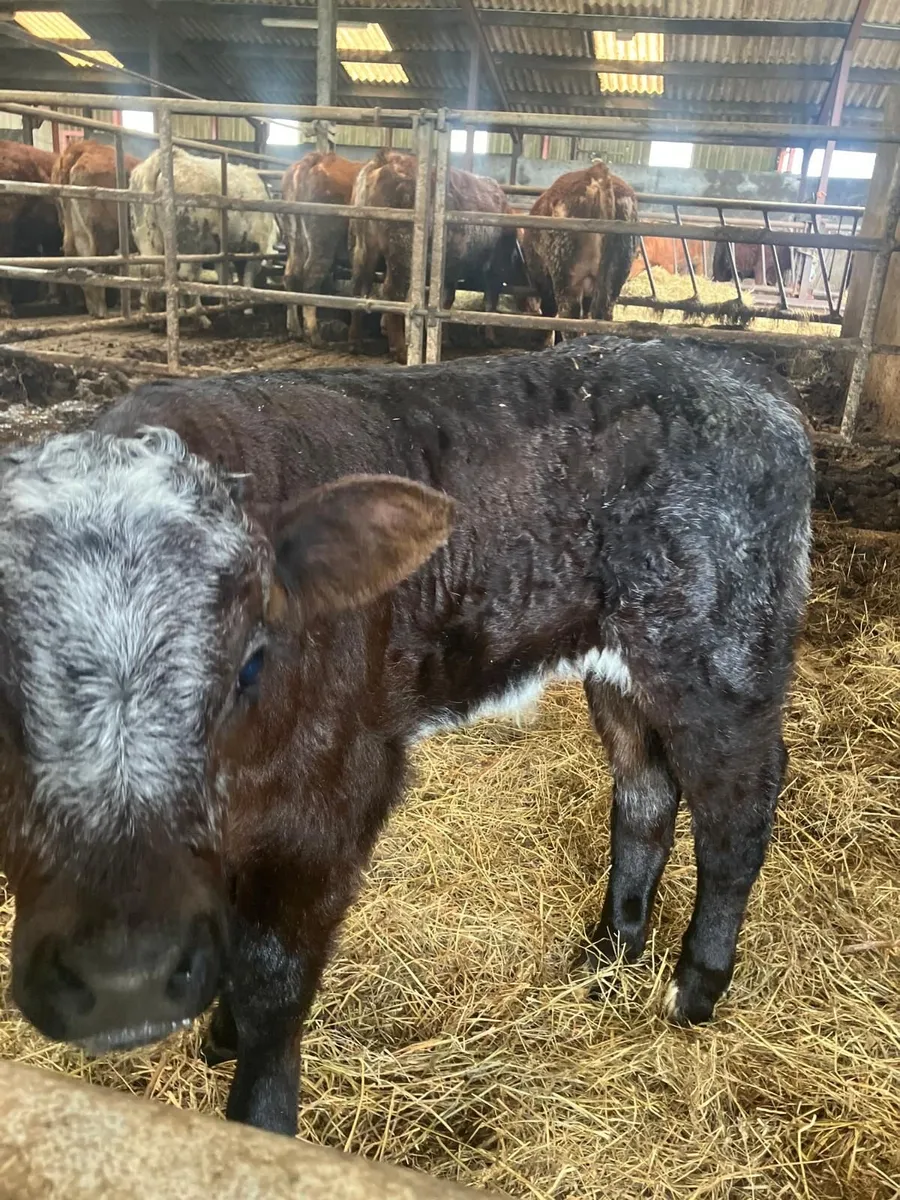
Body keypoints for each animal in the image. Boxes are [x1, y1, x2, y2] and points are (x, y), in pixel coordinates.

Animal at [0, 336, 813, 1137]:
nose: (122, 982)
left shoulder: (334, 795)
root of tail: (751, 382)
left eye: (250, 663)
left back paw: (693, 988)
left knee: (738, 814)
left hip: (720, 658)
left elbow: (274, 981)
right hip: (621, 665)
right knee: (646, 793)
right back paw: (609, 954)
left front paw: (257, 1110)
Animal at [52, 139, 140, 319]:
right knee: (95, 265)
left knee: (75, 257)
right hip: (102, 234)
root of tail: (82, 147)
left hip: (71, 228)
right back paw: (101, 311)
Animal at [129, 147, 279, 318]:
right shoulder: (257, 247)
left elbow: (225, 276)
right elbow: (247, 278)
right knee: (187, 276)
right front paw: (248, 308)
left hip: (146, 241)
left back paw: (149, 313)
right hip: (191, 246)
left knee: (148, 271)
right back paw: (200, 315)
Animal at [282, 151, 362, 346]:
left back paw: (295, 330)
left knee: (290, 277)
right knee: (310, 281)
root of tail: (314, 159)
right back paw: (315, 336)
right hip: (322, 245)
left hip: (294, 241)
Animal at [348, 148, 520, 362]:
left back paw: (356, 343)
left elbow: (445, 301)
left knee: (360, 288)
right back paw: (400, 351)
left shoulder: (449, 270)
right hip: (402, 254)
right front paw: (491, 338)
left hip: (364, 250)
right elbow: (490, 302)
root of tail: (385, 159)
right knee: (391, 292)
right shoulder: (496, 269)